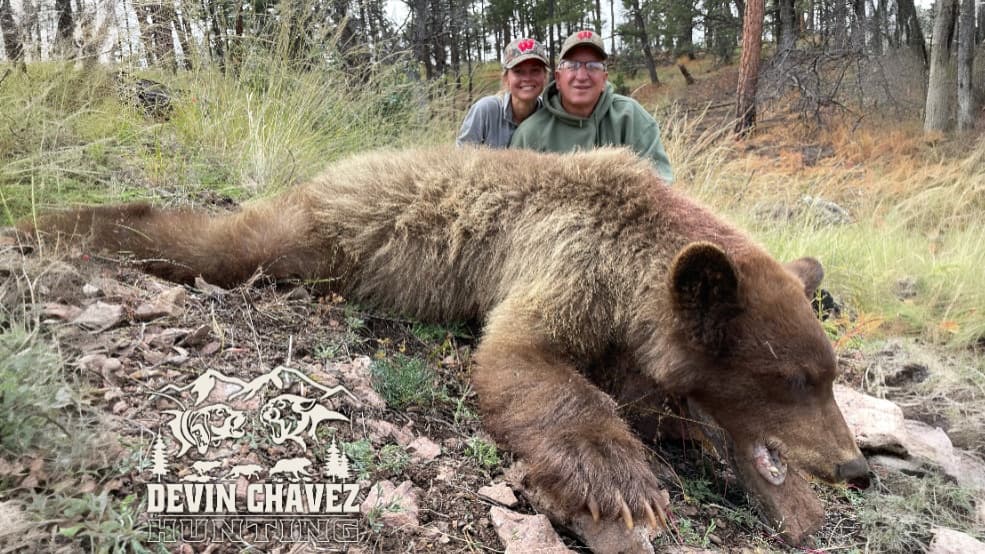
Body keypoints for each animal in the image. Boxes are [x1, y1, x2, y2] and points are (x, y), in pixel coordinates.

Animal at [17, 146, 870, 544]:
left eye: (827, 377)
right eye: (793, 379)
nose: (855, 468)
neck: (634, 245)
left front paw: (784, 496)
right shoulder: (566, 258)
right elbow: (522, 358)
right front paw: (618, 474)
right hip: (325, 230)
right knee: (224, 239)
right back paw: (62, 225)